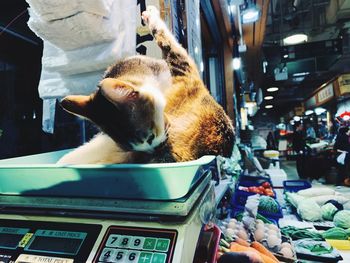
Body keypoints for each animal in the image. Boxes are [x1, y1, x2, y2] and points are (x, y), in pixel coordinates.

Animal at [57, 5, 234, 165]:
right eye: (136, 146)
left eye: (150, 138)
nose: (156, 149)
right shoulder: (183, 67)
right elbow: (164, 36)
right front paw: (151, 15)